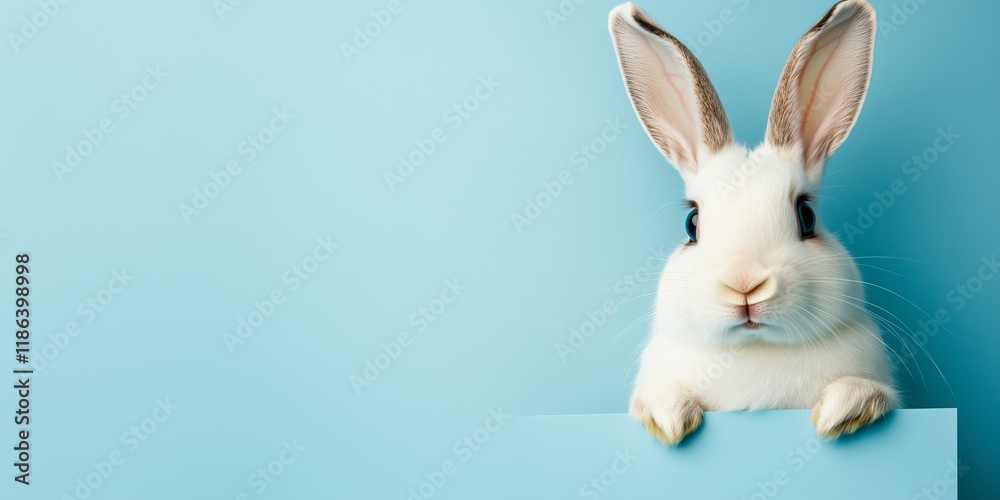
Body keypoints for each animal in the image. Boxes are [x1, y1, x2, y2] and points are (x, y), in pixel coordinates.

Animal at [608, 0, 898, 446]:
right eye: (692, 224)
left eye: (807, 216)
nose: (743, 284)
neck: (754, 350)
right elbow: (661, 395)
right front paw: (669, 416)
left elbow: (867, 391)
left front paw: (844, 408)